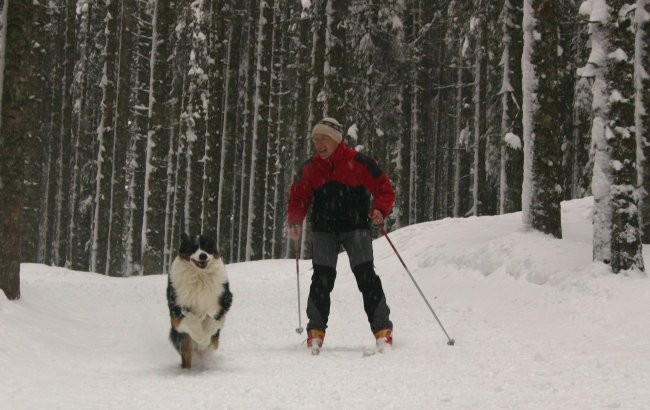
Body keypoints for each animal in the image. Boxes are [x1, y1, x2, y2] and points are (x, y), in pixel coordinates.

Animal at [166, 232, 232, 370]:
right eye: (193, 247)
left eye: (207, 247)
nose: (203, 255)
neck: (200, 276)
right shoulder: (176, 309)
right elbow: (192, 320)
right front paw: (201, 339)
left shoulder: (224, 301)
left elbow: (211, 321)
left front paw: (204, 341)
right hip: (182, 339)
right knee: (187, 355)